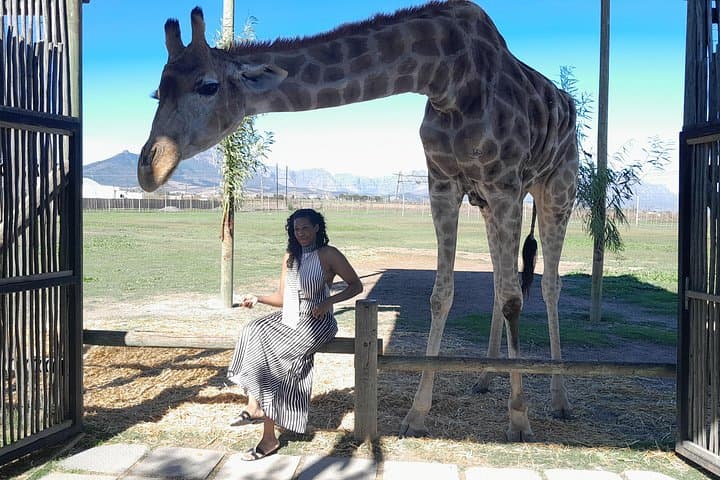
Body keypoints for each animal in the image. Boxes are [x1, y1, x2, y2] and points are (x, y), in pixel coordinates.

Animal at [139, 1, 577, 441]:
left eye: (208, 85)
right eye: (157, 92)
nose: (149, 168)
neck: (447, 76)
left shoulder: (504, 183)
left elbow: (513, 299)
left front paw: (519, 419)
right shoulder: (443, 183)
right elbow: (443, 295)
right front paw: (417, 415)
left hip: (555, 189)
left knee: (547, 286)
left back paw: (559, 401)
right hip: (487, 202)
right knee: (500, 282)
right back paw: (485, 377)